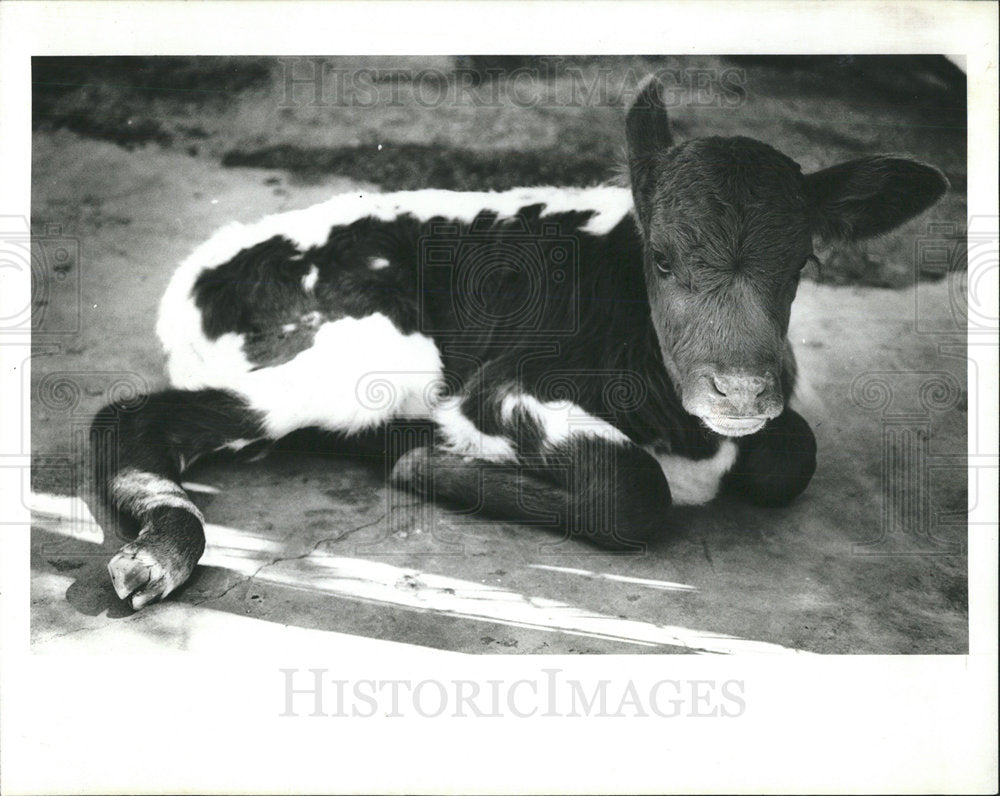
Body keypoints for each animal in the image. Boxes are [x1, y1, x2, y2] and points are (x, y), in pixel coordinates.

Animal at [89, 77, 948, 610]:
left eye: (802, 263)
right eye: (661, 258)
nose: (740, 389)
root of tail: (205, 260)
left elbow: (791, 454)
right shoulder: (497, 386)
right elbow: (631, 486)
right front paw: (432, 466)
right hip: (367, 354)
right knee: (126, 419)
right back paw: (158, 557)